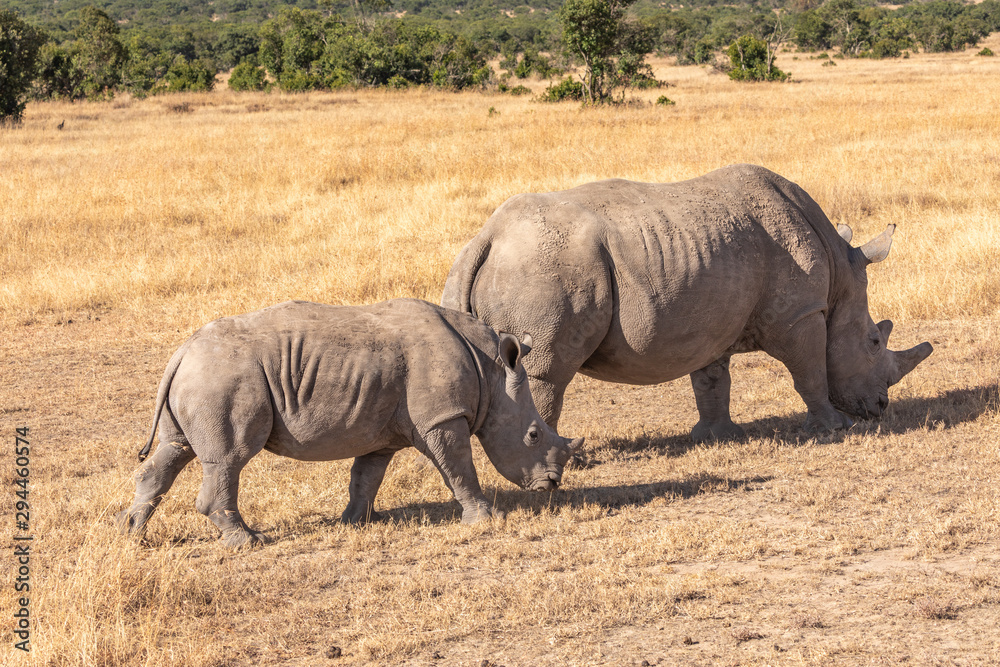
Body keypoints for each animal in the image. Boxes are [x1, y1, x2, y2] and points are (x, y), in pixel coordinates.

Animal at [116, 299, 583, 547]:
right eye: (532, 435)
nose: (551, 485)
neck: (491, 371)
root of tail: (181, 352)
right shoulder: (442, 418)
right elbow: (459, 468)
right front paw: (486, 519)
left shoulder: (382, 430)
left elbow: (366, 475)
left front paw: (354, 523)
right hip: (222, 377)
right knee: (229, 459)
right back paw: (250, 542)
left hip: (203, 377)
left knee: (175, 450)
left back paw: (132, 535)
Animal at [442, 164, 933, 441]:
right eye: (873, 342)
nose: (880, 410)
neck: (839, 276)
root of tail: (488, 237)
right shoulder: (802, 314)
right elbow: (809, 372)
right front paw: (834, 429)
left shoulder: (712, 317)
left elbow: (712, 380)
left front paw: (716, 436)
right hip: (545, 269)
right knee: (544, 371)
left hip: (487, 266)